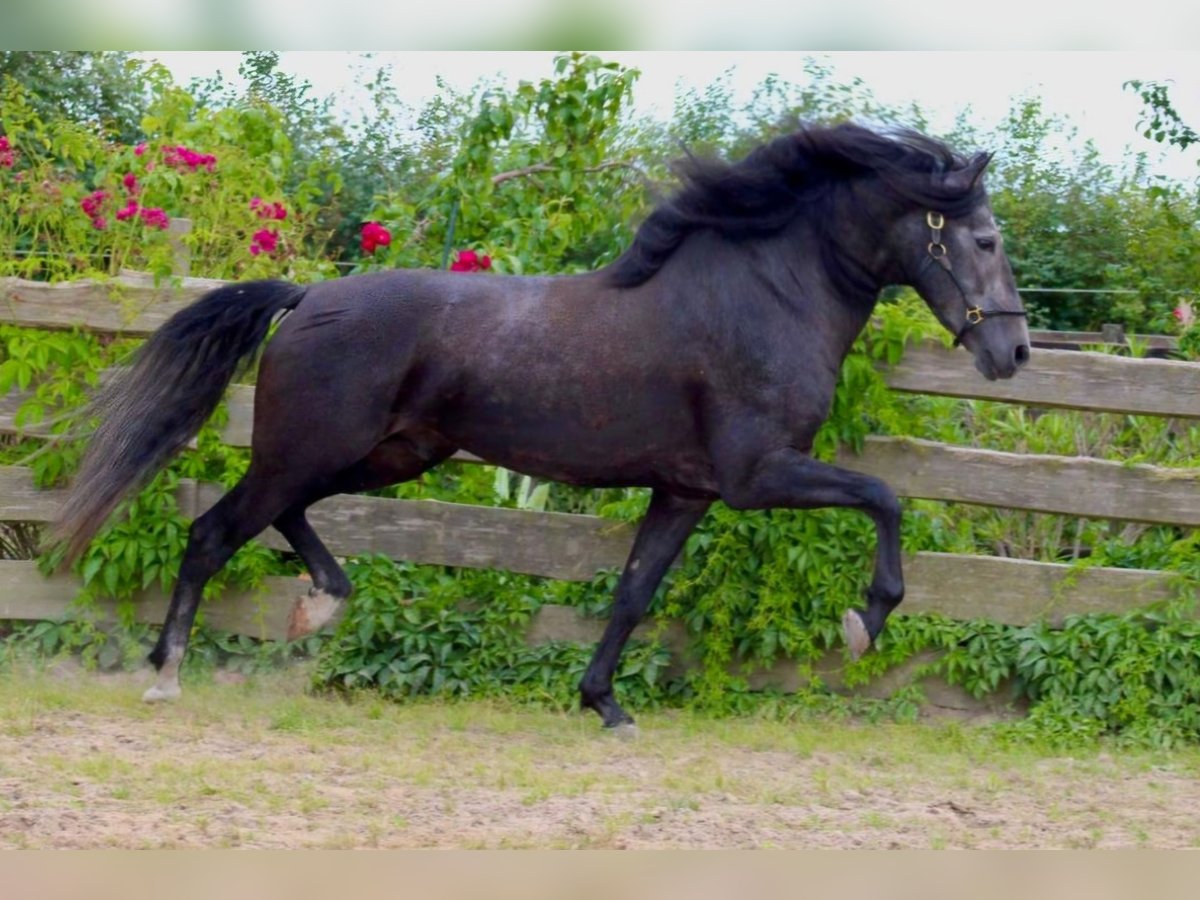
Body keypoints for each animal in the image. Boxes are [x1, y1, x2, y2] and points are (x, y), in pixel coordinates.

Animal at [49, 123, 1032, 729]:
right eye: (983, 239)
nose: (1014, 352)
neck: (763, 294)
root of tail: (308, 296)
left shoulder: (687, 490)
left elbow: (634, 594)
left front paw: (605, 706)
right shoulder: (757, 476)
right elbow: (886, 498)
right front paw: (866, 621)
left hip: (386, 455)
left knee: (280, 519)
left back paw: (316, 605)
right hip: (315, 450)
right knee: (215, 531)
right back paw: (169, 671)